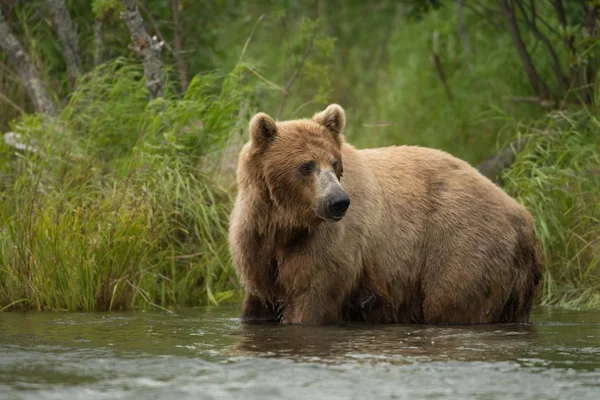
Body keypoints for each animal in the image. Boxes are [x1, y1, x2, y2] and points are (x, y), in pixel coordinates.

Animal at [226, 104, 544, 324]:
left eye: (335, 163)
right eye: (306, 165)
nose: (338, 201)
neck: (285, 223)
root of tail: (525, 219)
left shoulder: (328, 247)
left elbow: (311, 298)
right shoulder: (256, 246)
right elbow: (258, 302)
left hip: (464, 246)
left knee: (452, 303)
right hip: (514, 284)